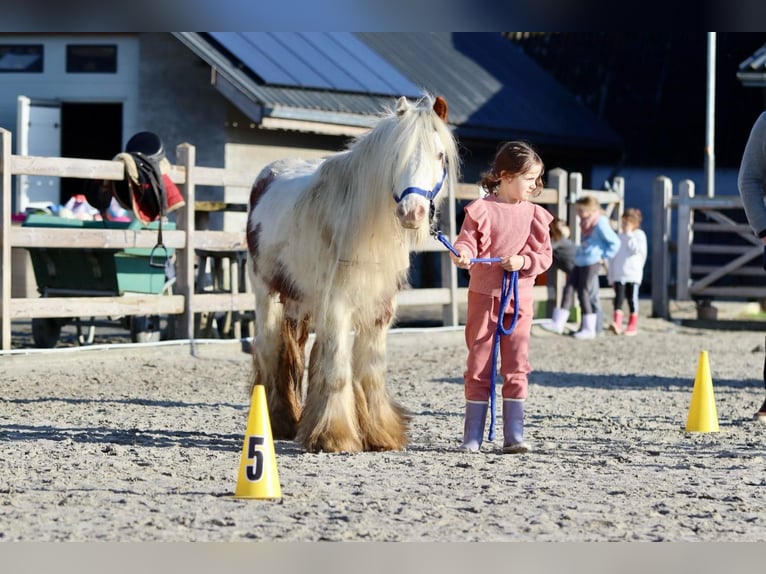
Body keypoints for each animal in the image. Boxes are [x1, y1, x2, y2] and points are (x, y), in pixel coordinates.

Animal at [249, 93, 460, 454]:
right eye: (396, 156)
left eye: (440, 155)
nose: (412, 212)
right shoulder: (337, 304)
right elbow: (336, 368)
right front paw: (334, 436)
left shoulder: (379, 309)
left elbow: (369, 370)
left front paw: (380, 433)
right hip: (266, 292)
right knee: (269, 348)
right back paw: (279, 422)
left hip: (299, 300)